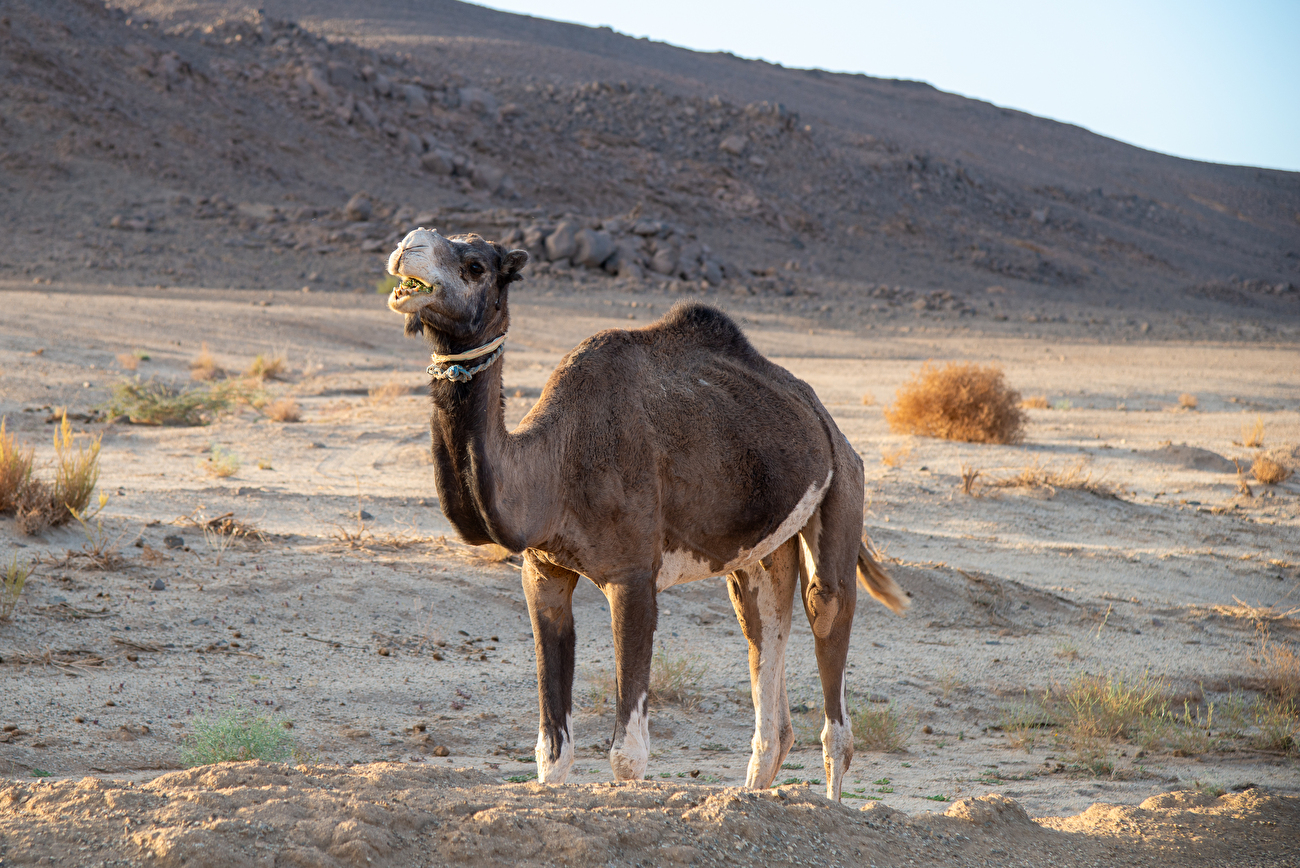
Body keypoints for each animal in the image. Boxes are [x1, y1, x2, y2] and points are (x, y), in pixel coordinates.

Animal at [384, 227, 904, 795]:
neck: (555, 464)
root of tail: (826, 419)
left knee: (829, 647)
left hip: (843, 491)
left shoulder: (633, 577)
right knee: (766, 653)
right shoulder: (542, 574)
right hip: (758, 555)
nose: (408, 246)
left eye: (476, 265)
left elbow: (627, 755)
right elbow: (552, 753)